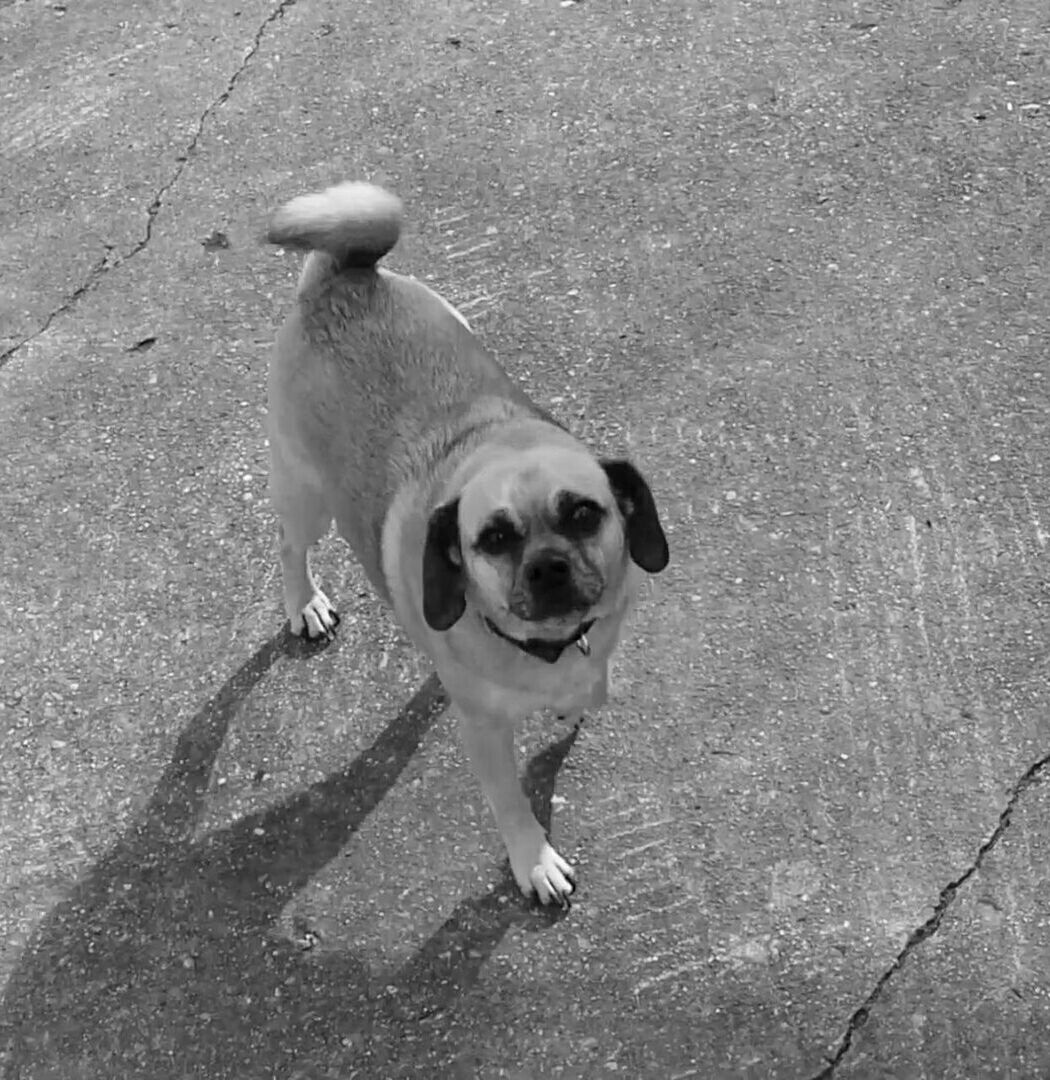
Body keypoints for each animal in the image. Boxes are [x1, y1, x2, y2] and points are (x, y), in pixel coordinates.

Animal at [266, 181, 669, 907]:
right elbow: (511, 804)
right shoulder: (484, 735)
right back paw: (303, 604)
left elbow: (584, 691)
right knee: (289, 546)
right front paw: (533, 861)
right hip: (308, 502)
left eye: (584, 515)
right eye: (495, 539)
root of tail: (342, 277)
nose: (548, 568)